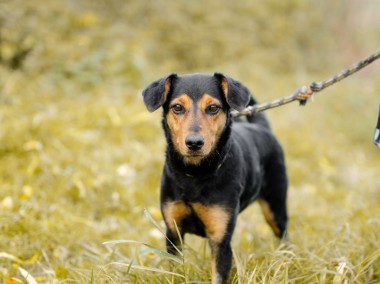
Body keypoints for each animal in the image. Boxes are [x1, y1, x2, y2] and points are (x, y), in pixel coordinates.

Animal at [142, 74, 288, 284]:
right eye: (177, 107)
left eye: (213, 108)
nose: (194, 143)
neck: (196, 174)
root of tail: (260, 128)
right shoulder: (173, 233)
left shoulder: (220, 238)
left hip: (275, 207)